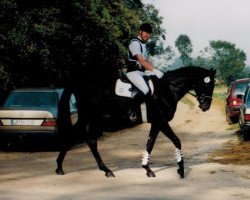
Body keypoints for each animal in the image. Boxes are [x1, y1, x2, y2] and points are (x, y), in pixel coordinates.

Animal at [55, 66, 216, 179]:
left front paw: (147, 169)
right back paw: (61, 167)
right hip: (88, 117)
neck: (167, 90)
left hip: (92, 118)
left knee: (89, 141)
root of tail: (79, 84)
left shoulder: (156, 123)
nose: (206, 107)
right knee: (78, 138)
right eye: (207, 85)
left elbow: (150, 143)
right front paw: (181, 170)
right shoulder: (161, 120)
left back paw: (103, 170)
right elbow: (176, 140)